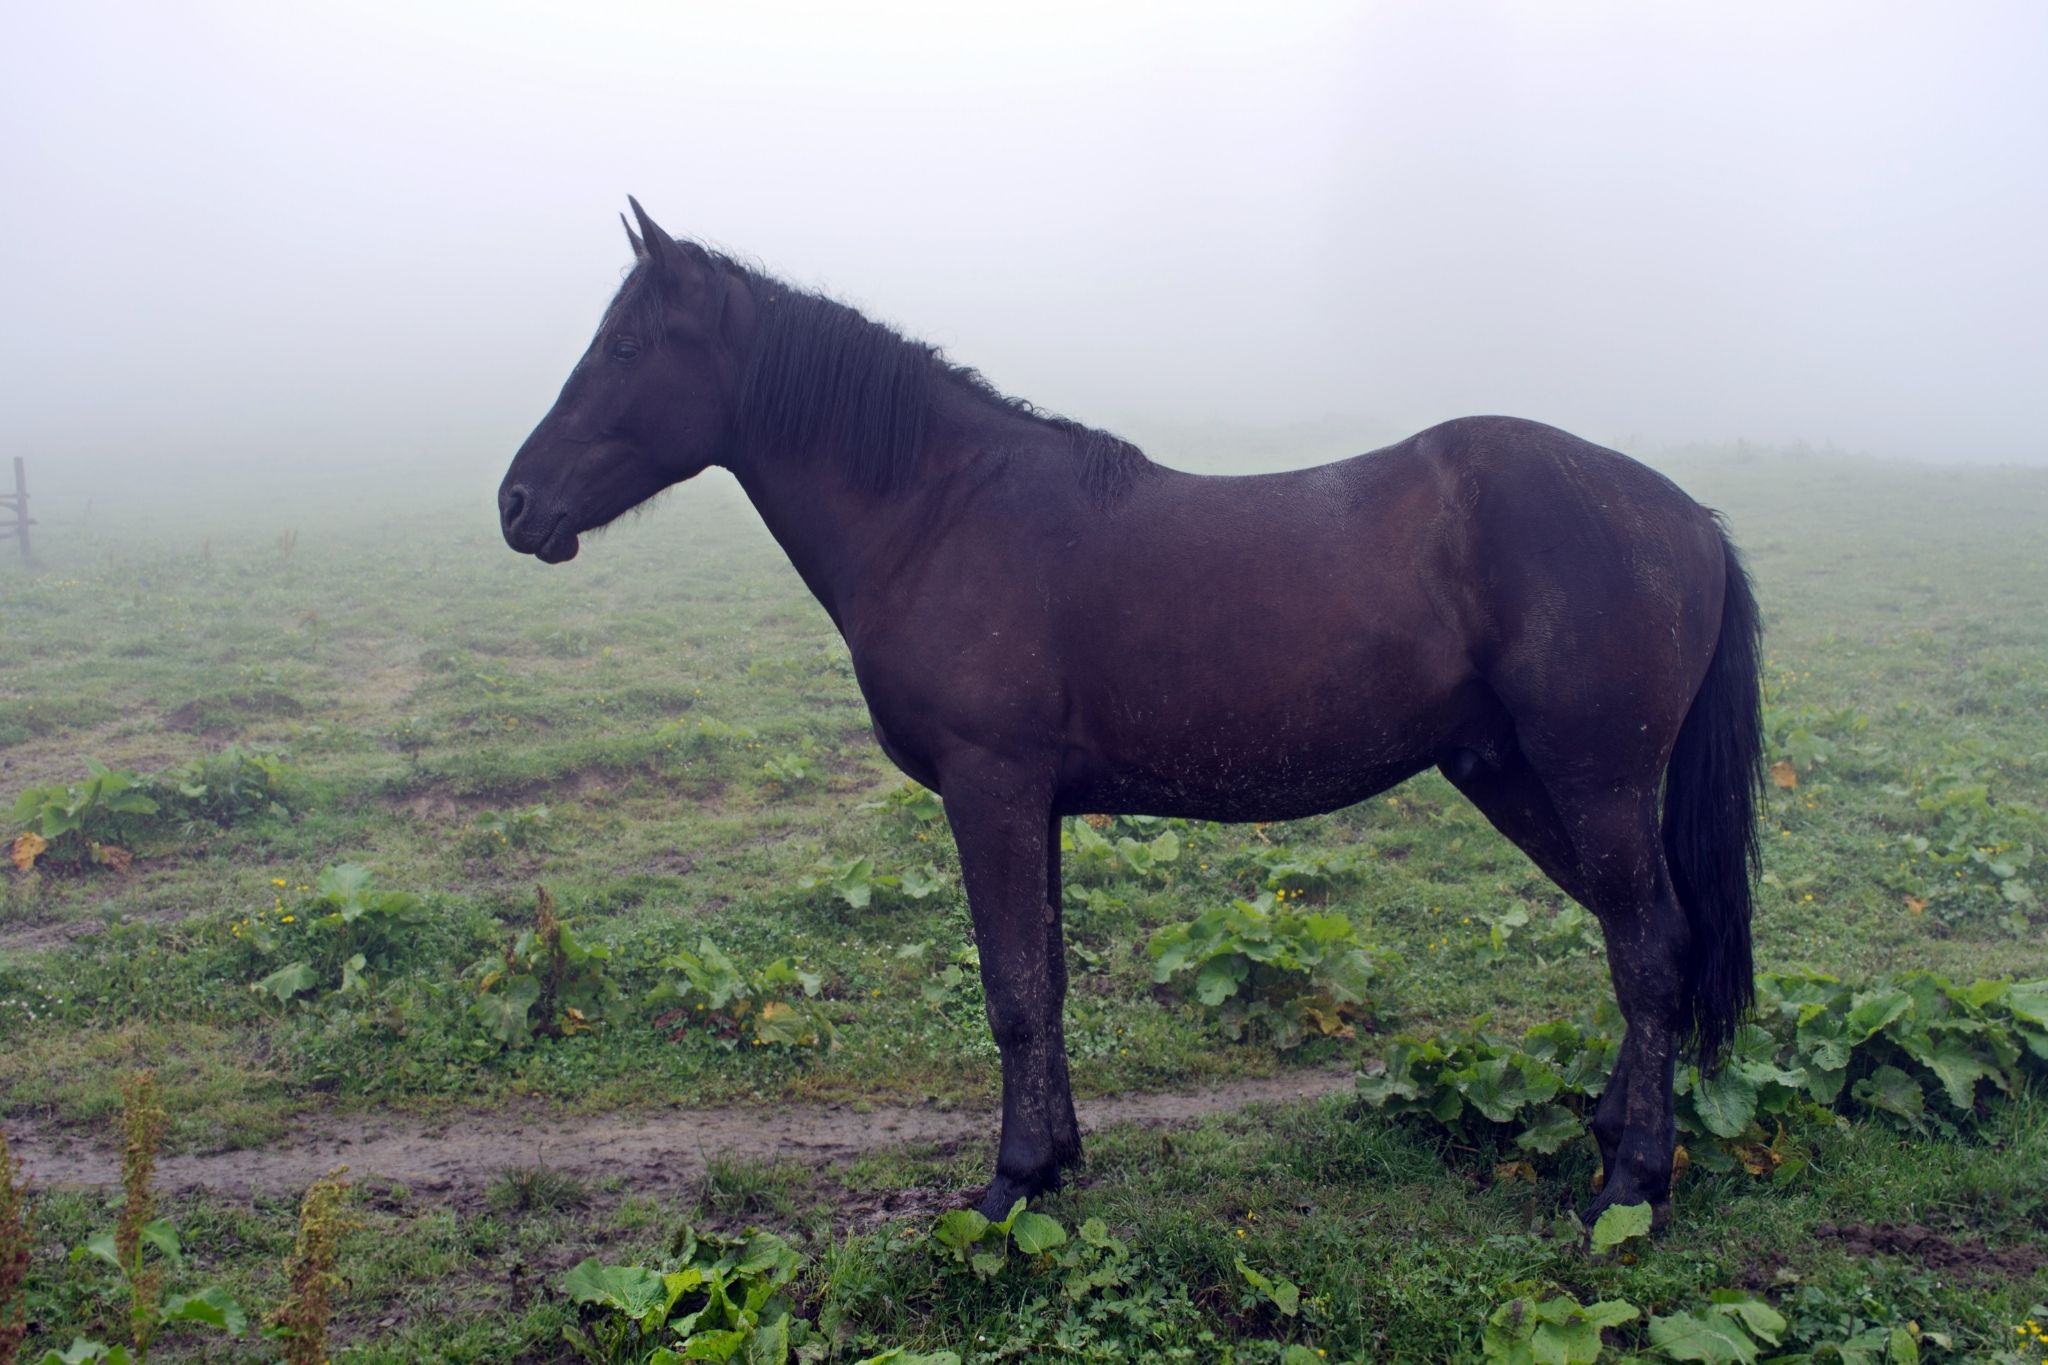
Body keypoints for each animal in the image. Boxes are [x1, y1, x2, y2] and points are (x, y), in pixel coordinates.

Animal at [498, 199, 1763, 1228]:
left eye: (622, 346)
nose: (517, 502)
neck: (941, 510)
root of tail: (1689, 518)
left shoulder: (991, 788)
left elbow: (1010, 991)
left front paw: (1009, 1184)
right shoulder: (1038, 805)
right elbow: (1046, 980)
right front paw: (1056, 1160)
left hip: (1593, 781)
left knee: (1649, 947)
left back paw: (1630, 1186)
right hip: (1509, 773)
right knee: (1637, 939)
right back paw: (1614, 1136)